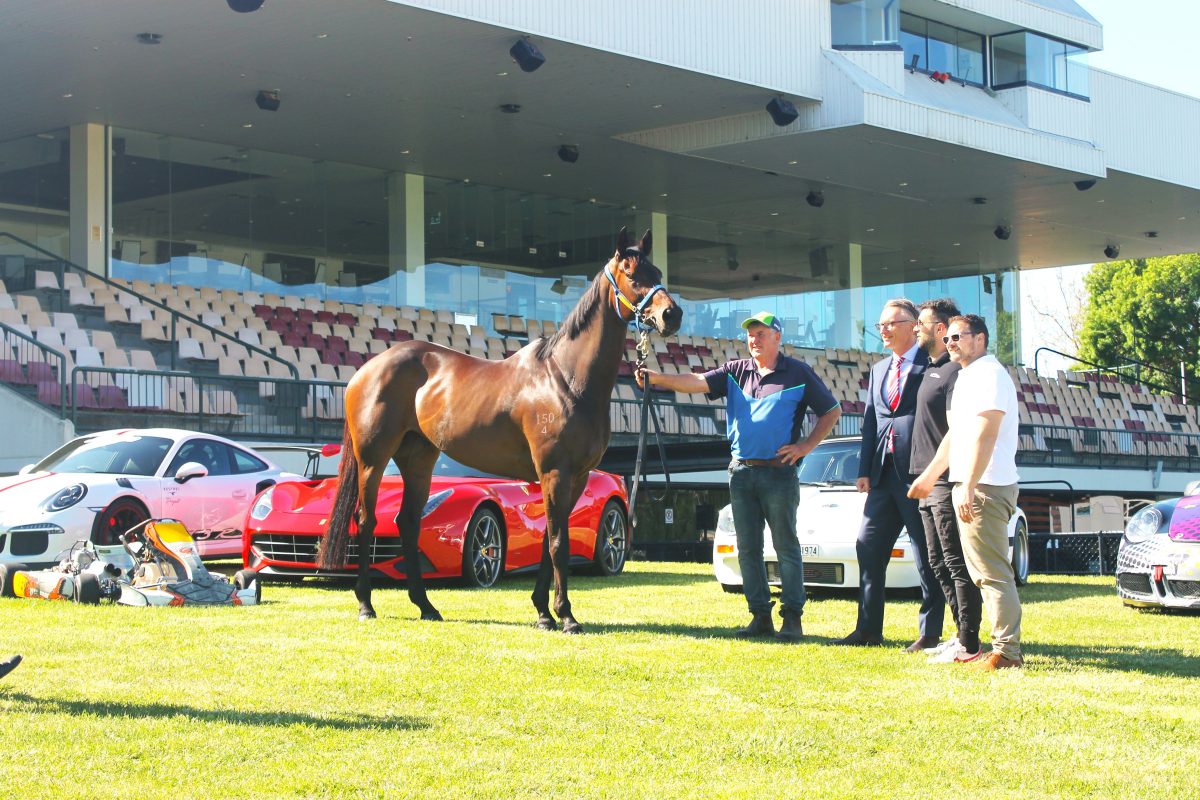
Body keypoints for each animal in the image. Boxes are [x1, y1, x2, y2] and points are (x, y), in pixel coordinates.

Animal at [319, 226, 681, 633]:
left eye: (658, 272)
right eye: (633, 275)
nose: (672, 314)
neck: (566, 379)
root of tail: (364, 371)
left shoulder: (577, 477)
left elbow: (549, 541)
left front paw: (543, 613)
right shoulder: (554, 472)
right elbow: (559, 542)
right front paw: (566, 616)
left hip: (418, 458)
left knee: (407, 523)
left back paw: (426, 606)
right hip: (373, 459)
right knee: (366, 521)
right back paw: (366, 604)